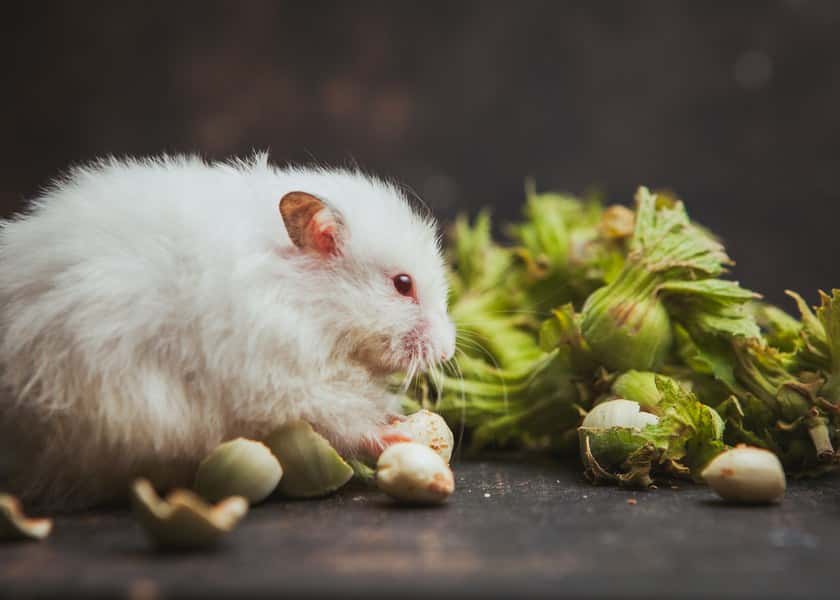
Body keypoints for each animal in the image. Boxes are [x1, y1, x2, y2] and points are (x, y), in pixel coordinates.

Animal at [0, 153, 455, 509]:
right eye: (402, 284)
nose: (448, 351)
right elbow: (344, 420)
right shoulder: (282, 381)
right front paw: (399, 432)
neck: (307, 303)